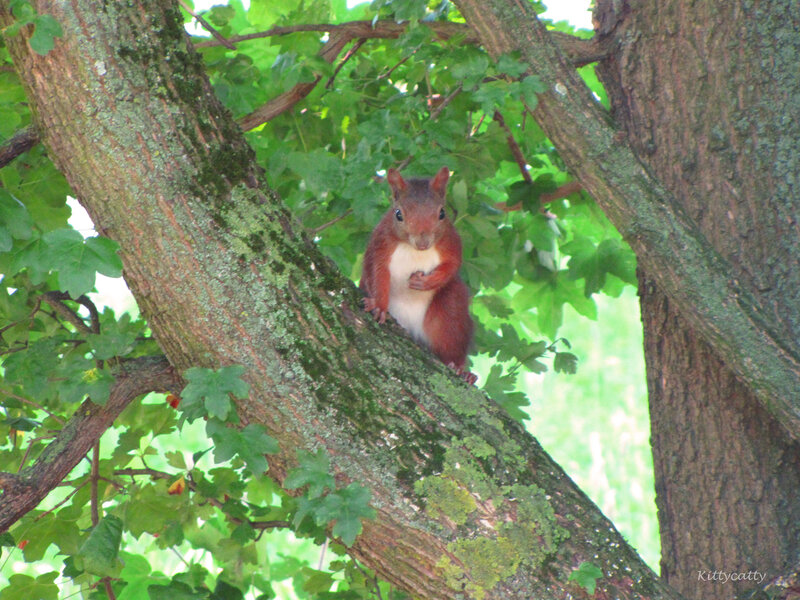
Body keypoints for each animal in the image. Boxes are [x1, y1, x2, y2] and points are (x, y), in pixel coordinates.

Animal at [360, 166, 476, 384]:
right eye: (398, 214)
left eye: (442, 213)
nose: (423, 243)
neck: (415, 251)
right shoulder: (379, 245)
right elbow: (377, 273)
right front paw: (378, 306)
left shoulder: (451, 243)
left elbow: (451, 266)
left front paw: (426, 282)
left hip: (450, 313)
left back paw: (461, 369)